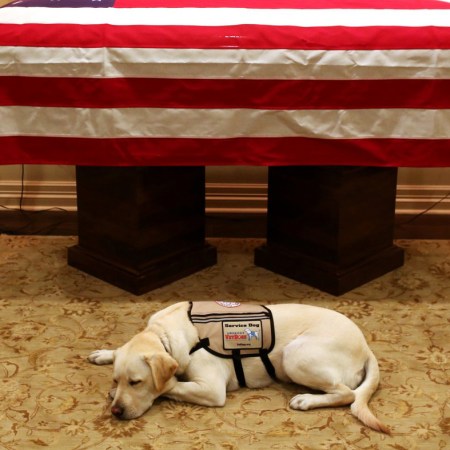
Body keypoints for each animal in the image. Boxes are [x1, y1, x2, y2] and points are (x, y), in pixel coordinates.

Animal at [88, 301, 389, 433]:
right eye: (117, 379)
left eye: (136, 382)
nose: (115, 412)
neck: (164, 334)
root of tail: (366, 346)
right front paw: (105, 354)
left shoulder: (211, 389)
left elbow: (171, 385)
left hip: (295, 355)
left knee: (347, 393)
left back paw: (305, 400)